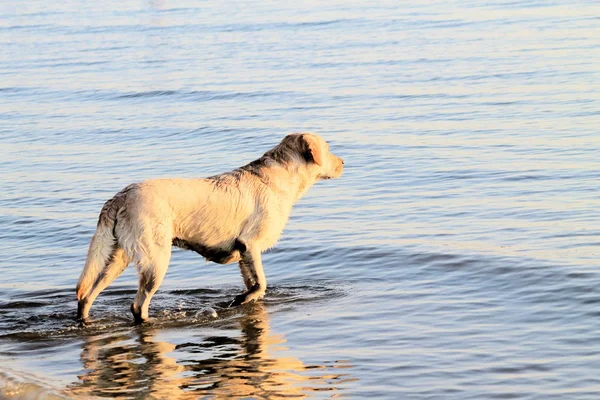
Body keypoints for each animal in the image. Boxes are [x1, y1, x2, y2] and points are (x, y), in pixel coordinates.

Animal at [77, 133, 344, 324]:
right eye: (329, 149)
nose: (343, 162)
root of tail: (120, 196)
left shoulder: (244, 253)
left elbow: (254, 284)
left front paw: (245, 300)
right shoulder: (251, 244)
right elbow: (262, 283)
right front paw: (241, 299)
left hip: (117, 259)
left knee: (86, 295)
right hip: (156, 259)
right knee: (137, 305)